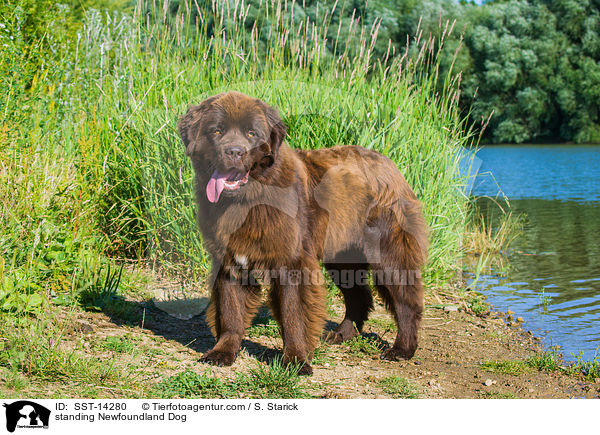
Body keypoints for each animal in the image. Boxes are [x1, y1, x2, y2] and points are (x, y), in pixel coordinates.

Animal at [176, 91, 428, 374]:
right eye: (216, 131)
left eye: (252, 133)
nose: (234, 152)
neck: (247, 199)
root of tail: (388, 164)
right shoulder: (230, 261)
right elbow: (230, 311)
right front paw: (222, 352)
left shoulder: (292, 261)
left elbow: (293, 313)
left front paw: (296, 360)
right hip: (341, 254)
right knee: (358, 295)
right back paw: (342, 334)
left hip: (388, 251)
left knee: (406, 300)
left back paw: (402, 349)